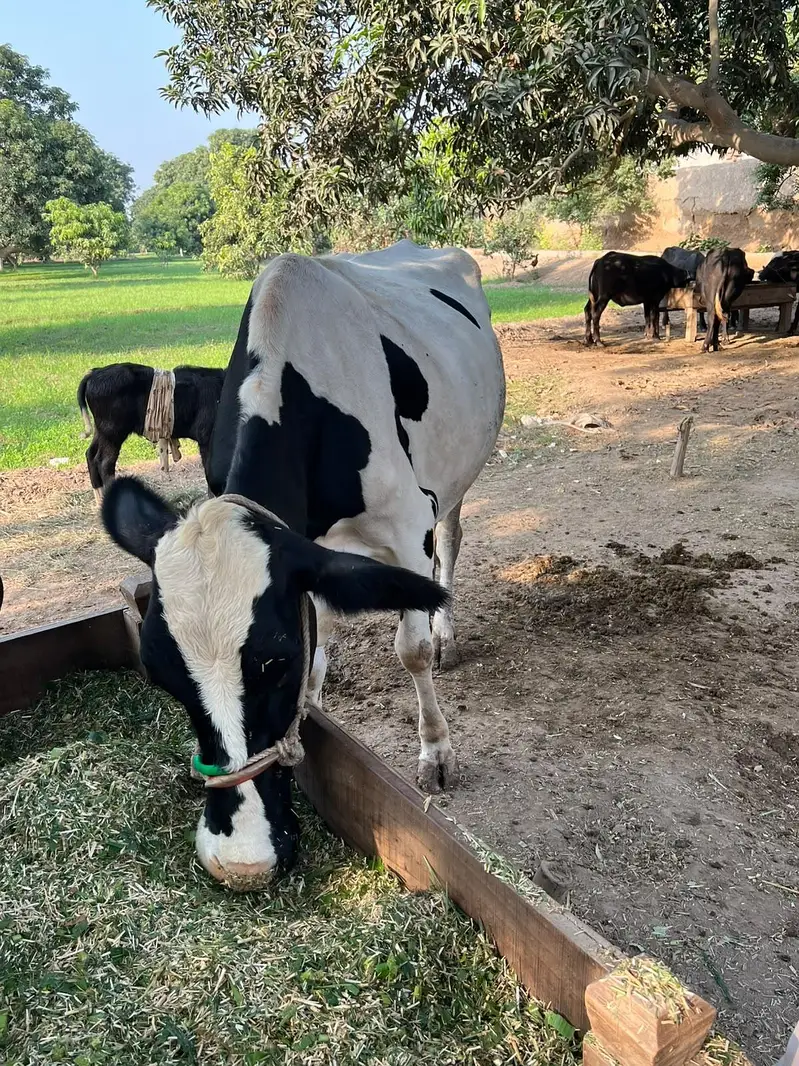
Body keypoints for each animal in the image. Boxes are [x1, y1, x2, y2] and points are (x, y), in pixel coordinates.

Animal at [78, 363, 225, 502]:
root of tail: (95, 372)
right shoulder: (205, 438)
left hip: (101, 430)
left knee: (90, 454)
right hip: (112, 431)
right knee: (105, 462)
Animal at [101, 241, 506, 890]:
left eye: (275, 661)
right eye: (160, 673)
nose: (240, 860)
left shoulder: (407, 522)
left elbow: (411, 649)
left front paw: (436, 751)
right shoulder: (304, 547)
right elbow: (320, 622)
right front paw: (314, 701)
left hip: (457, 477)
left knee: (451, 542)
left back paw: (447, 633)